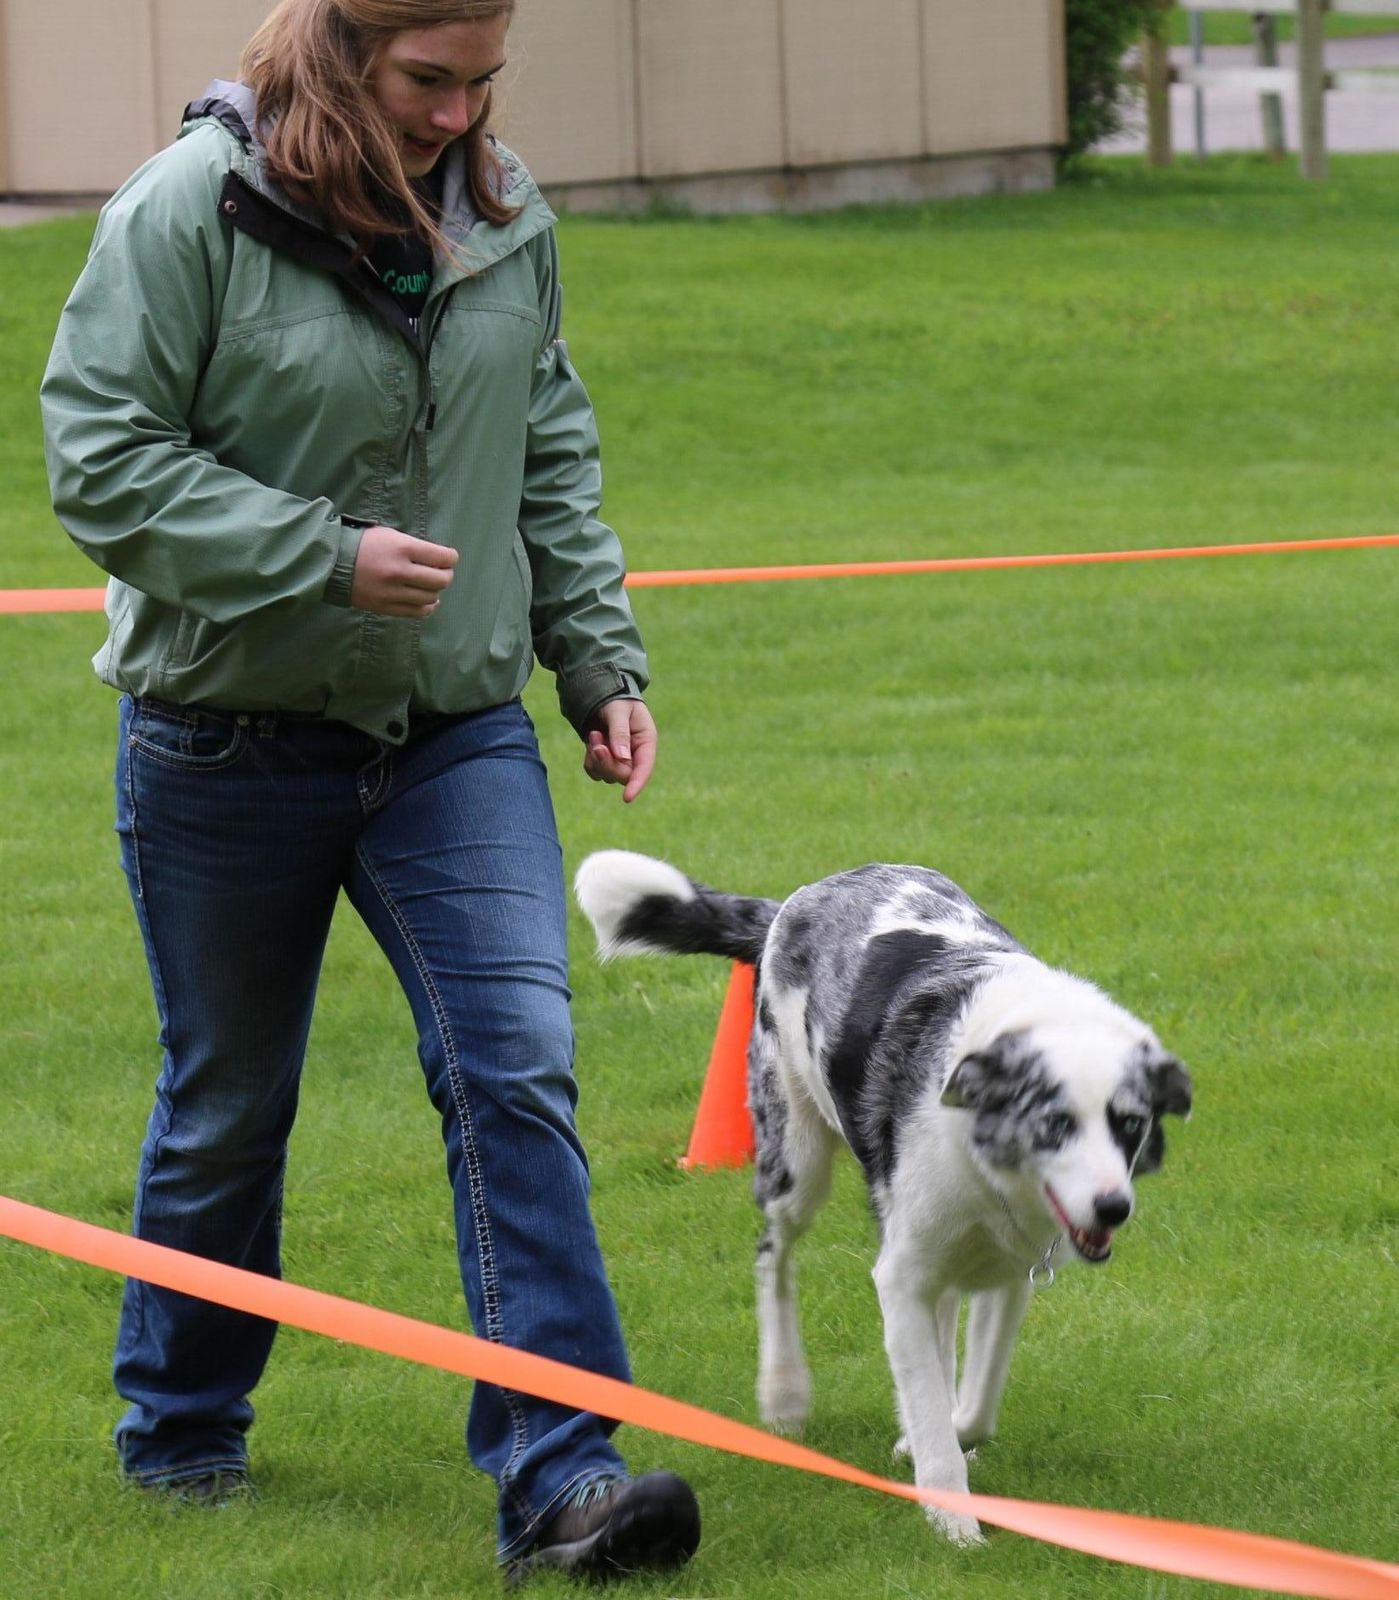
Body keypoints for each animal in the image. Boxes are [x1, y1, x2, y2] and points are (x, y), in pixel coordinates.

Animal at [574, 851, 1192, 1545]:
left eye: (1130, 1125)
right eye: (1055, 1124)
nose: (1113, 1208)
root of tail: (795, 902)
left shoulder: (1011, 1274)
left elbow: (972, 1407)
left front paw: (925, 1443)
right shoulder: (901, 1275)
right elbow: (930, 1402)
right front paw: (955, 1523)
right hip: (796, 1161)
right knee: (773, 1256)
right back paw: (784, 1391)